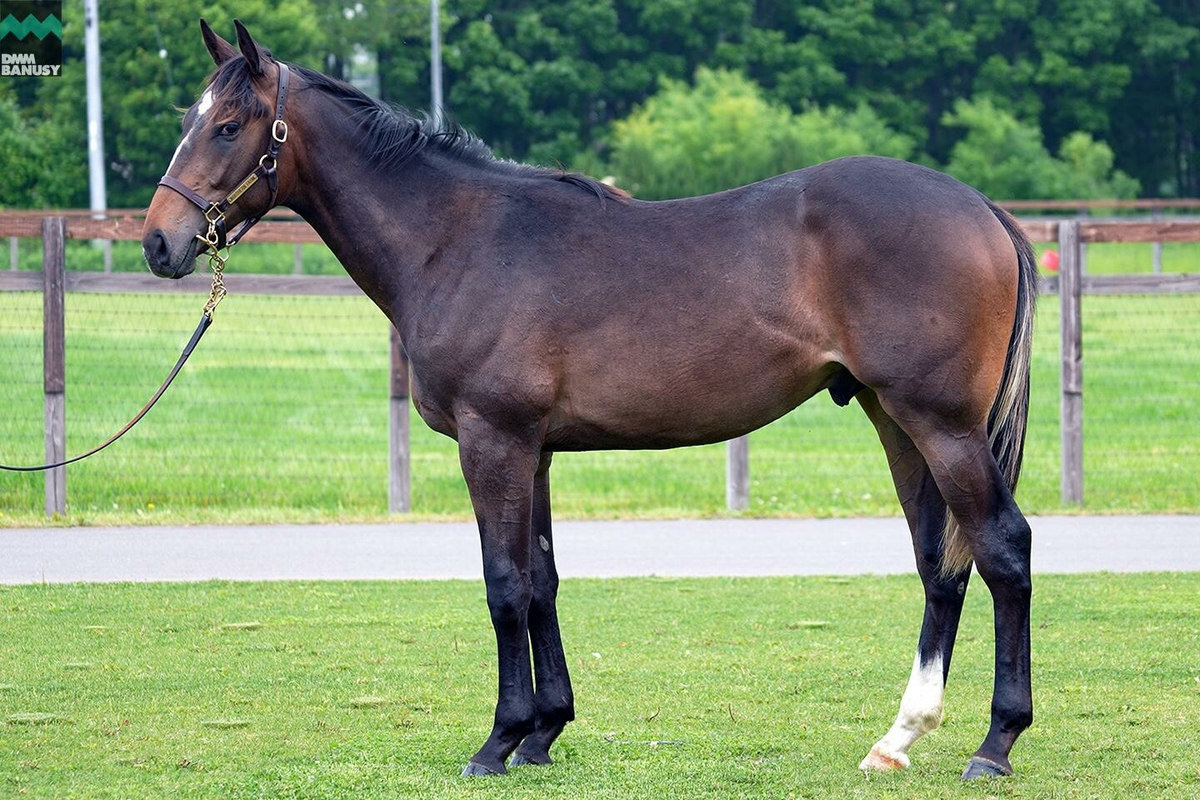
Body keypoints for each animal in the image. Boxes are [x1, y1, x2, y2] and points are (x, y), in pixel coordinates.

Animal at [142, 20, 1038, 781]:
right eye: (191, 118)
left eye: (229, 126)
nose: (159, 243)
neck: (454, 238)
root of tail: (983, 209)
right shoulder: (533, 449)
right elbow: (542, 580)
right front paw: (543, 731)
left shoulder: (493, 441)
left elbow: (503, 583)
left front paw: (498, 740)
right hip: (898, 422)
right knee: (939, 564)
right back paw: (899, 738)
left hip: (942, 426)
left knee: (1002, 547)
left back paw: (995, 743)